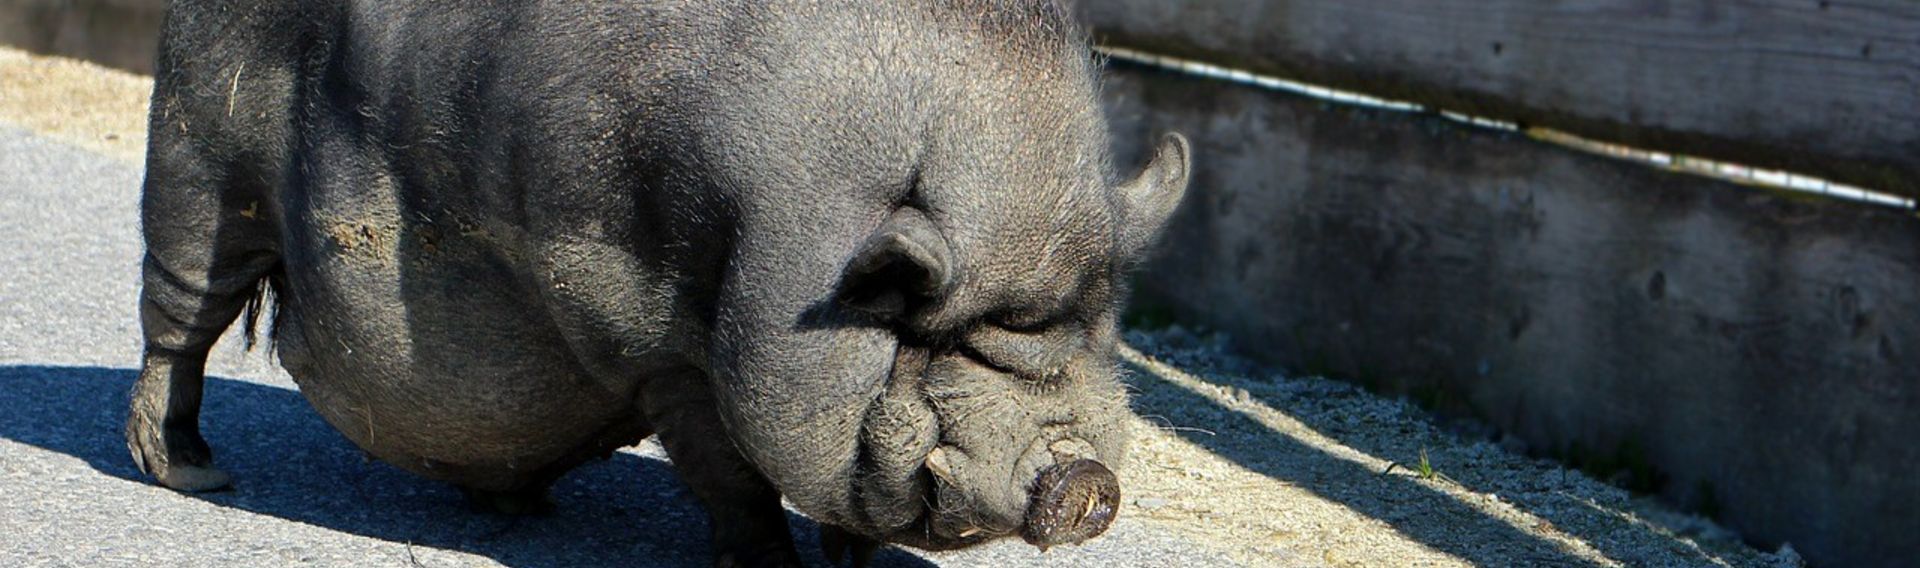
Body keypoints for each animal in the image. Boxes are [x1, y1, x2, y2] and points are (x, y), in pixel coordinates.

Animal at [123, 0, 1182, 564]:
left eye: (1097, 335)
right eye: (942, 339)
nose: (1085, 481)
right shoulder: (650, 338)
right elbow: (730, 477)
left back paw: (517, 510)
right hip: (197, 156)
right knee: (180, 321)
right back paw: (192, 473)